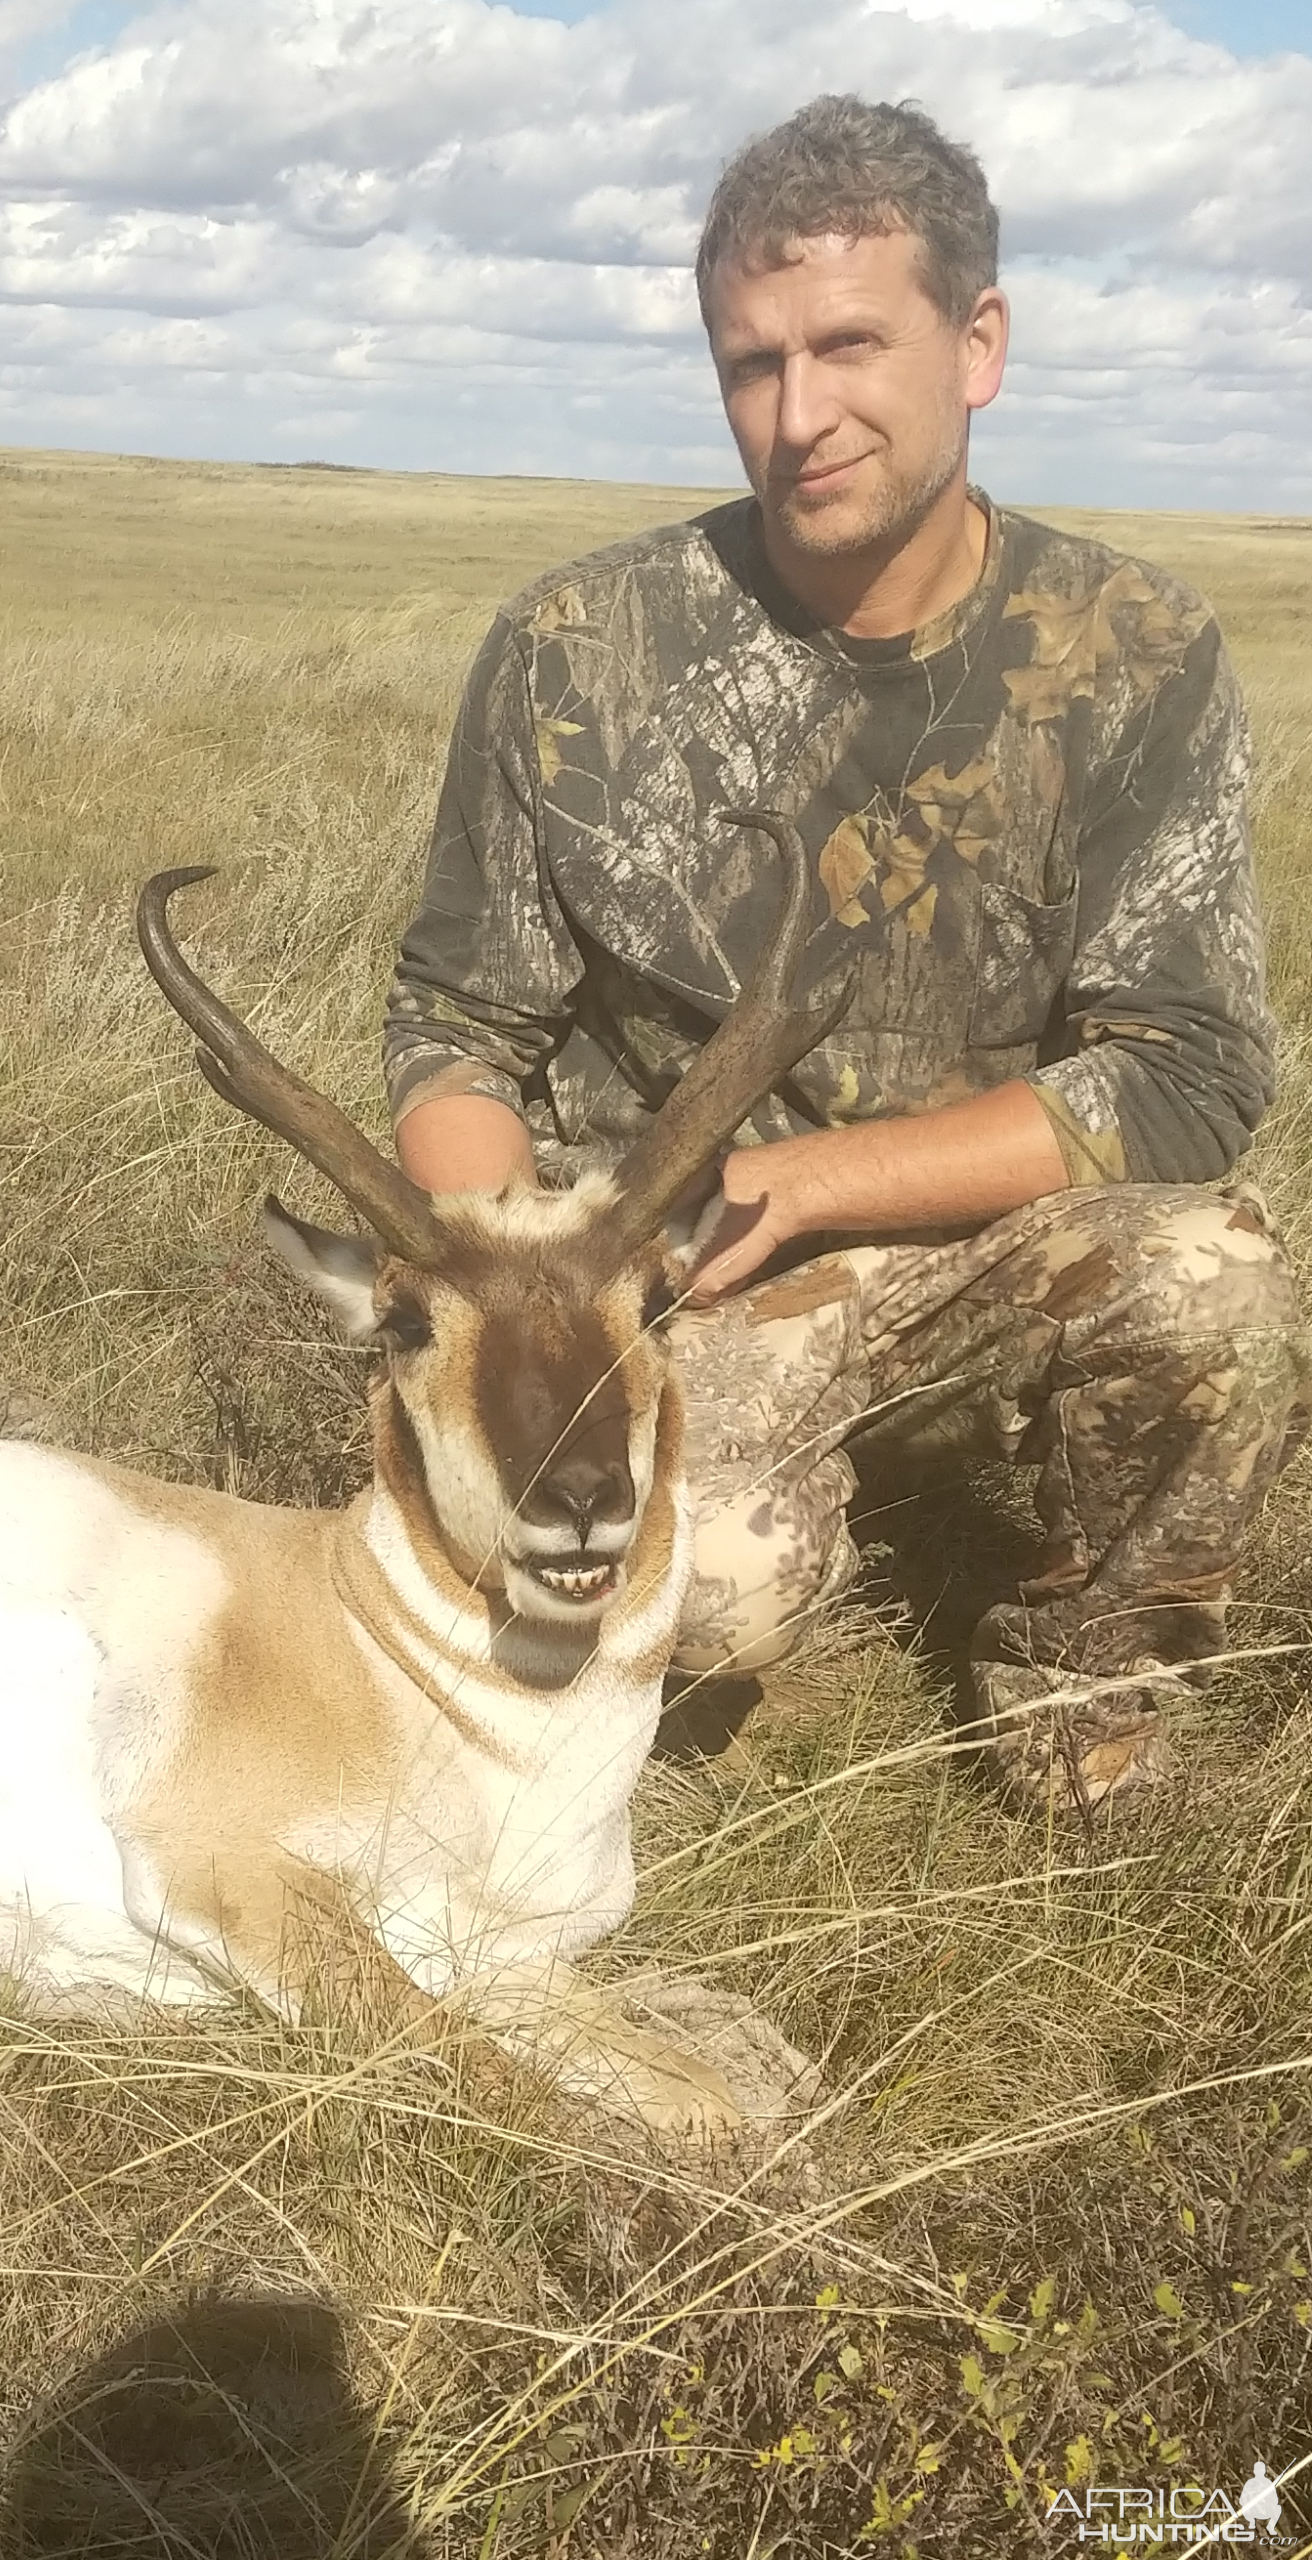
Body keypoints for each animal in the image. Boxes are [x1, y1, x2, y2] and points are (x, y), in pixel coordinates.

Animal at [0, 814, 850, 2119]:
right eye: (405, 1321)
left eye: (659, 1298)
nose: (579, 1502)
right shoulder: (229, 1872)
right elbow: (484, 2081)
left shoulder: (505, 1958)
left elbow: (700, 2098)